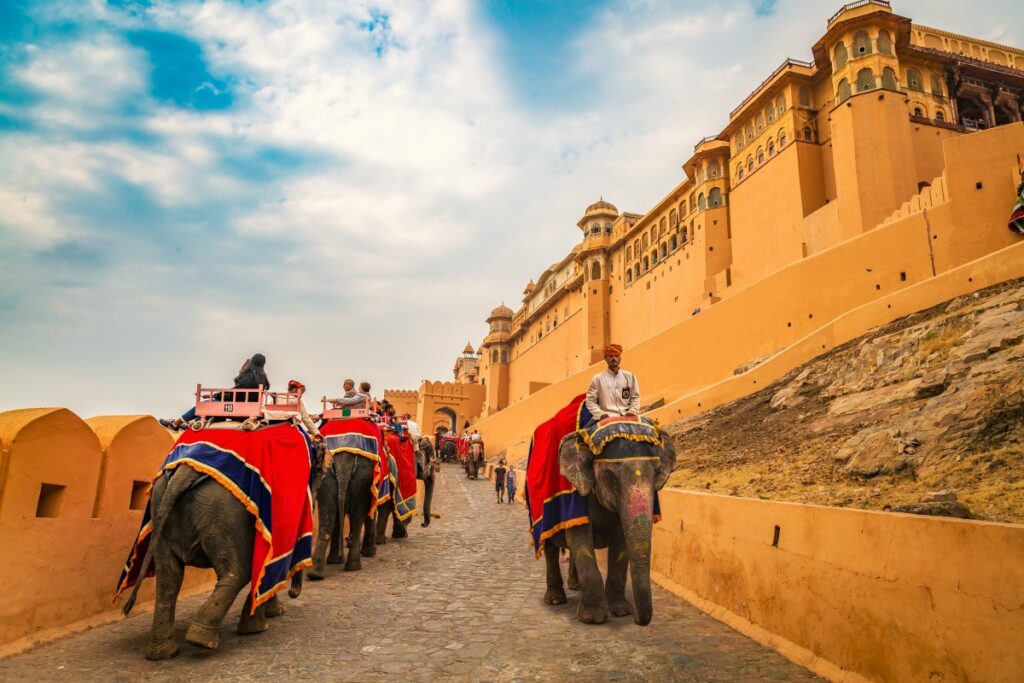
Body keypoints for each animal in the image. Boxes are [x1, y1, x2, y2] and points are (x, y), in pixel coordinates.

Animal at [311, 450, 380, 581]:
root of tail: (344, 464)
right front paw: (370, 552)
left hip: (327, 478)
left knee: (327, 520)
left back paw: (316, 573)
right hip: (362, 479)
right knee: (357, 518)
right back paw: (353, 566)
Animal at [540, 432, 675, 626]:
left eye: (657, 474)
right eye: (610, 477)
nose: (637, 619)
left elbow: (620, 541)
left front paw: (621, 611)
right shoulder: (575, 498)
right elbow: (580, 540)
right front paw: (593, 618)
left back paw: (575, 586)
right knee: (550, 548)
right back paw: (556, 599)